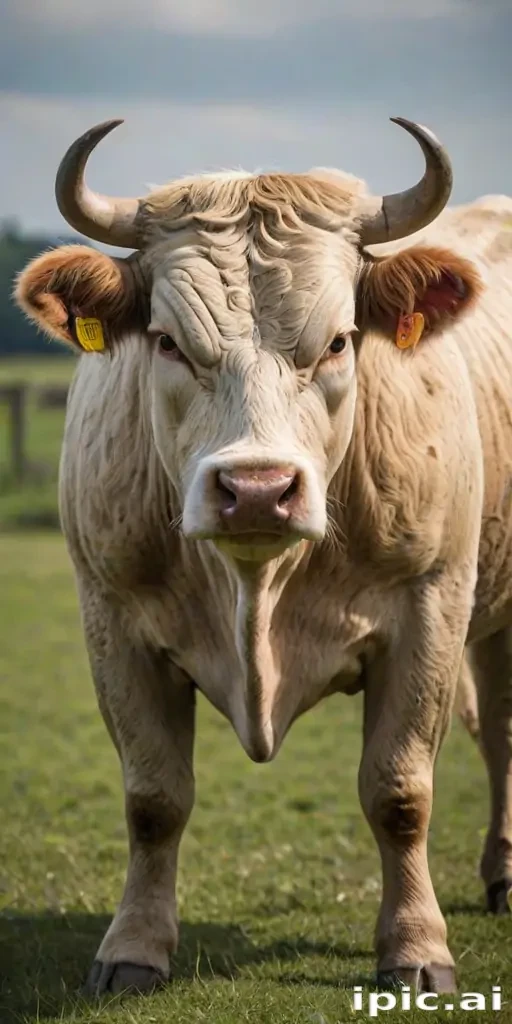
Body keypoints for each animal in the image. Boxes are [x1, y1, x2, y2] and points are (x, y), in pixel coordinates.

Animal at [15, 117, 512, 999]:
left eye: (341, 341)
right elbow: (153, 798)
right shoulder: (112, 621)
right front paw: (133, 950)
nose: (255, 490)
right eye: (168, 342)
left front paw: (417, 949)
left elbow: (400, 793)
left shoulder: (430, 609)